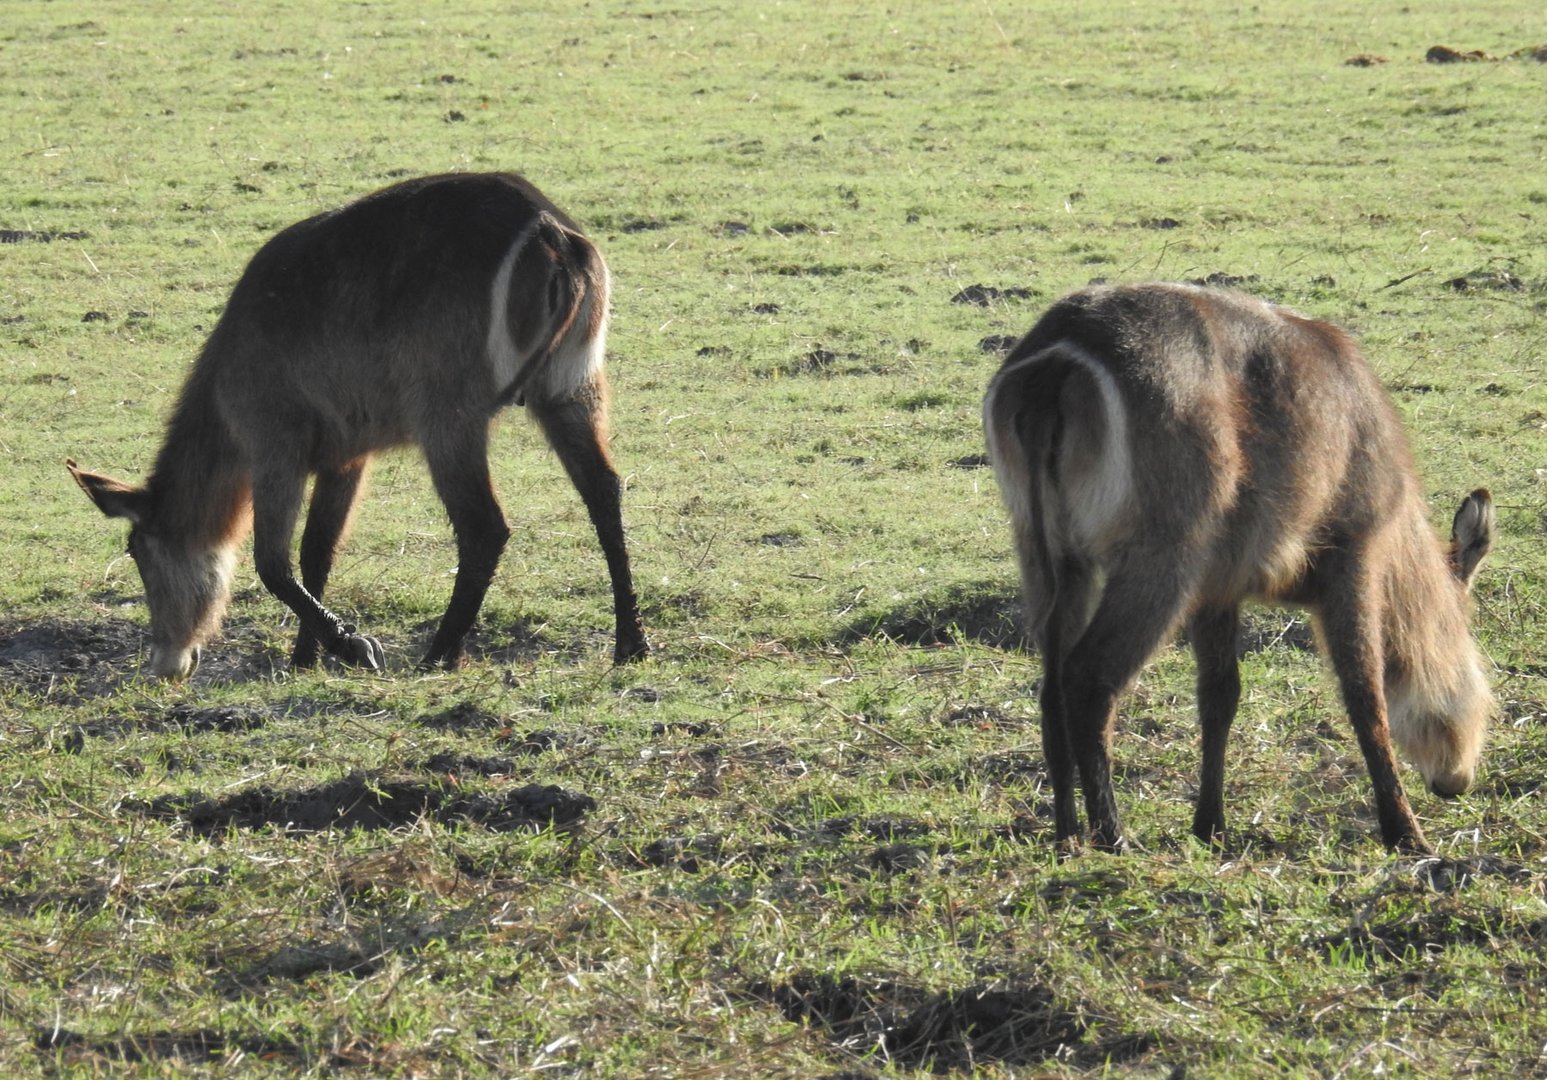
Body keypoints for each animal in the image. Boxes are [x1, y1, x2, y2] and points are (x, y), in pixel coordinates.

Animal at [64, 172, 646, 677]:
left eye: (138, 552)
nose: (166, 664)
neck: (223, 393)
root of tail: (549, 230)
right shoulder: (346, 456)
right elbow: (316, 551)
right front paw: (305, 659)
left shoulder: (274, 446)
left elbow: (273, 562)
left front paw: (350, 647)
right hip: (570, 389)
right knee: (603, 489)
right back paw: (630, 644)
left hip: (448, 417)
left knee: (485, 526)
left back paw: (438, 654)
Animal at [983, 281, 1491, 854]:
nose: (1458, 780)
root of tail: (1061, 351)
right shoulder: (1354, 553)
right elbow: (1365, 694)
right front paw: (1405, 833)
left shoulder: (1217, 590)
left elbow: (1219, 698)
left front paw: (1210, 825)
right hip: (1163, 556)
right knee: (1088, 679)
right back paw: (1112, 835)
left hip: (1049, 554)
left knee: (1050, 688)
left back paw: (1066, 834)